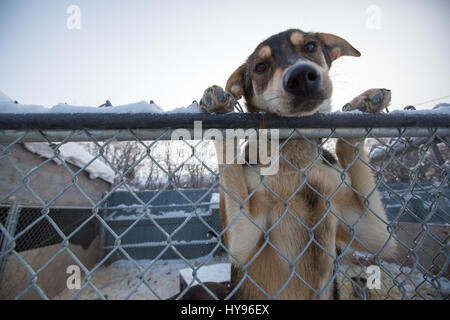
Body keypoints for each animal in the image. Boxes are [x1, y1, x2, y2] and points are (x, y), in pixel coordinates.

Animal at [174, 28, 396, 300]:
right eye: (260, 66)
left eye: (310, 46)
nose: (301, 77)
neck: (295, 164)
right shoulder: (242, 240)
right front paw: (218, 108)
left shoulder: (372, 231)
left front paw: (361, 105)